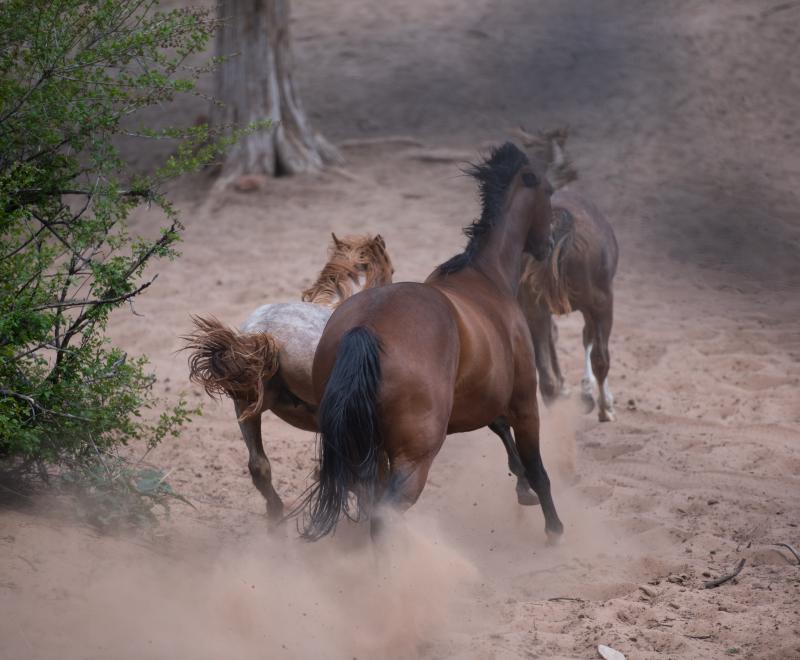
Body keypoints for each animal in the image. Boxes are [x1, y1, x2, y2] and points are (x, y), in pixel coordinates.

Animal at [302, 142, 564, 543]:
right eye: (548, 191)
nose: (548, 242)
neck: (485, 276)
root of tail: (365, 328)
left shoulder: (483, 396)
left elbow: (502, 431)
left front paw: (523, 490)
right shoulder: (523, 400)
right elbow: (537, 468)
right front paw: (554, 528)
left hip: (365, 449)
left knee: (371, 503)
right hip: (414, 457)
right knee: (385, 515)